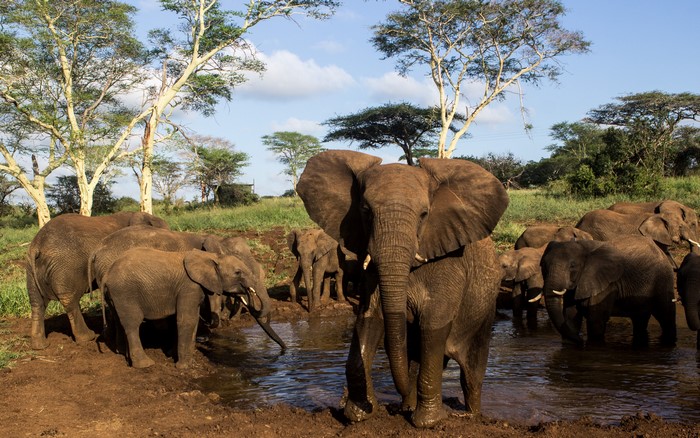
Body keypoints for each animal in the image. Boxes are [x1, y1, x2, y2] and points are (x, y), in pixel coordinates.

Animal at [26, 211, 169, 350]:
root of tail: (37, 245)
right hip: (65, 267)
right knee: (69, 299)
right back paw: (87, 337)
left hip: (31, 269)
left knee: (37, 302)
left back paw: (40, 346)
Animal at [100, 248, 284, 368]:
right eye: (238, 272)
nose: (284, 350)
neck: (211, 256)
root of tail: (106, 275)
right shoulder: (189, 286)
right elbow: (186, 320)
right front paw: (184, 367)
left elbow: (194, 319)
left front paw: (190, 358)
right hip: (125, 292)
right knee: (132, 324)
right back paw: (145, 364)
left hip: (116, 296)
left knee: (119, 321)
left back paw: (122, 354)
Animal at [296, 150, 509, 428]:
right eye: (366, 211)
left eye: (424, 215)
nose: (399, 402)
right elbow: (370, 318)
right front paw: (360, 414)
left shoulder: (451, 262)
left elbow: (433, 324)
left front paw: (429, 422)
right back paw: (409, 405)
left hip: (484, 312)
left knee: (471, 372)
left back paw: (471, 415)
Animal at [540, 235, 677, 347]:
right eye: (544, 265)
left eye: (572, 266)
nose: (580, 341)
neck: (584, 246)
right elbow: (570, 318)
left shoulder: (606, 283)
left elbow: (596, 320)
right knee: (639, 320)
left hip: (663, 279)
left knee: (666, 316)